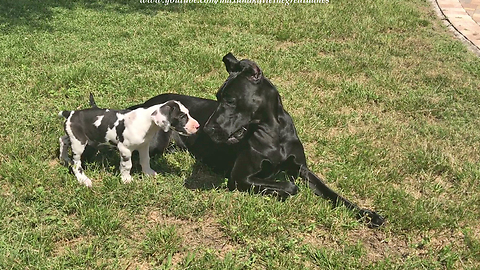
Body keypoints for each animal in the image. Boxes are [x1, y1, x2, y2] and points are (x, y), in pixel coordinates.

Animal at [59, 100, 200, 187]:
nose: (198, 126)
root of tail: (70, 113)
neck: (146, 121)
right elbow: (127, 165)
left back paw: (63, 157)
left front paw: (148, 173)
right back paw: (83, 179)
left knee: (63, 140)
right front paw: (126, 179)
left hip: (76, 137)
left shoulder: (144, 146)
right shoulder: (125, 149)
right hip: (79, 144)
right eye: (181, 116)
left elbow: (145, 160)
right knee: (76, 164)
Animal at [126, 52, 382, 228]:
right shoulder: (239, 178)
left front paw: (366, 214)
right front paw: (281, 190)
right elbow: (290, 186)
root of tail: (145, 103)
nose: (204, 129)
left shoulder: (301, 168)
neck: (273, 132)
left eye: (229, 100)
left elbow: (330, 192)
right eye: (217, 97)